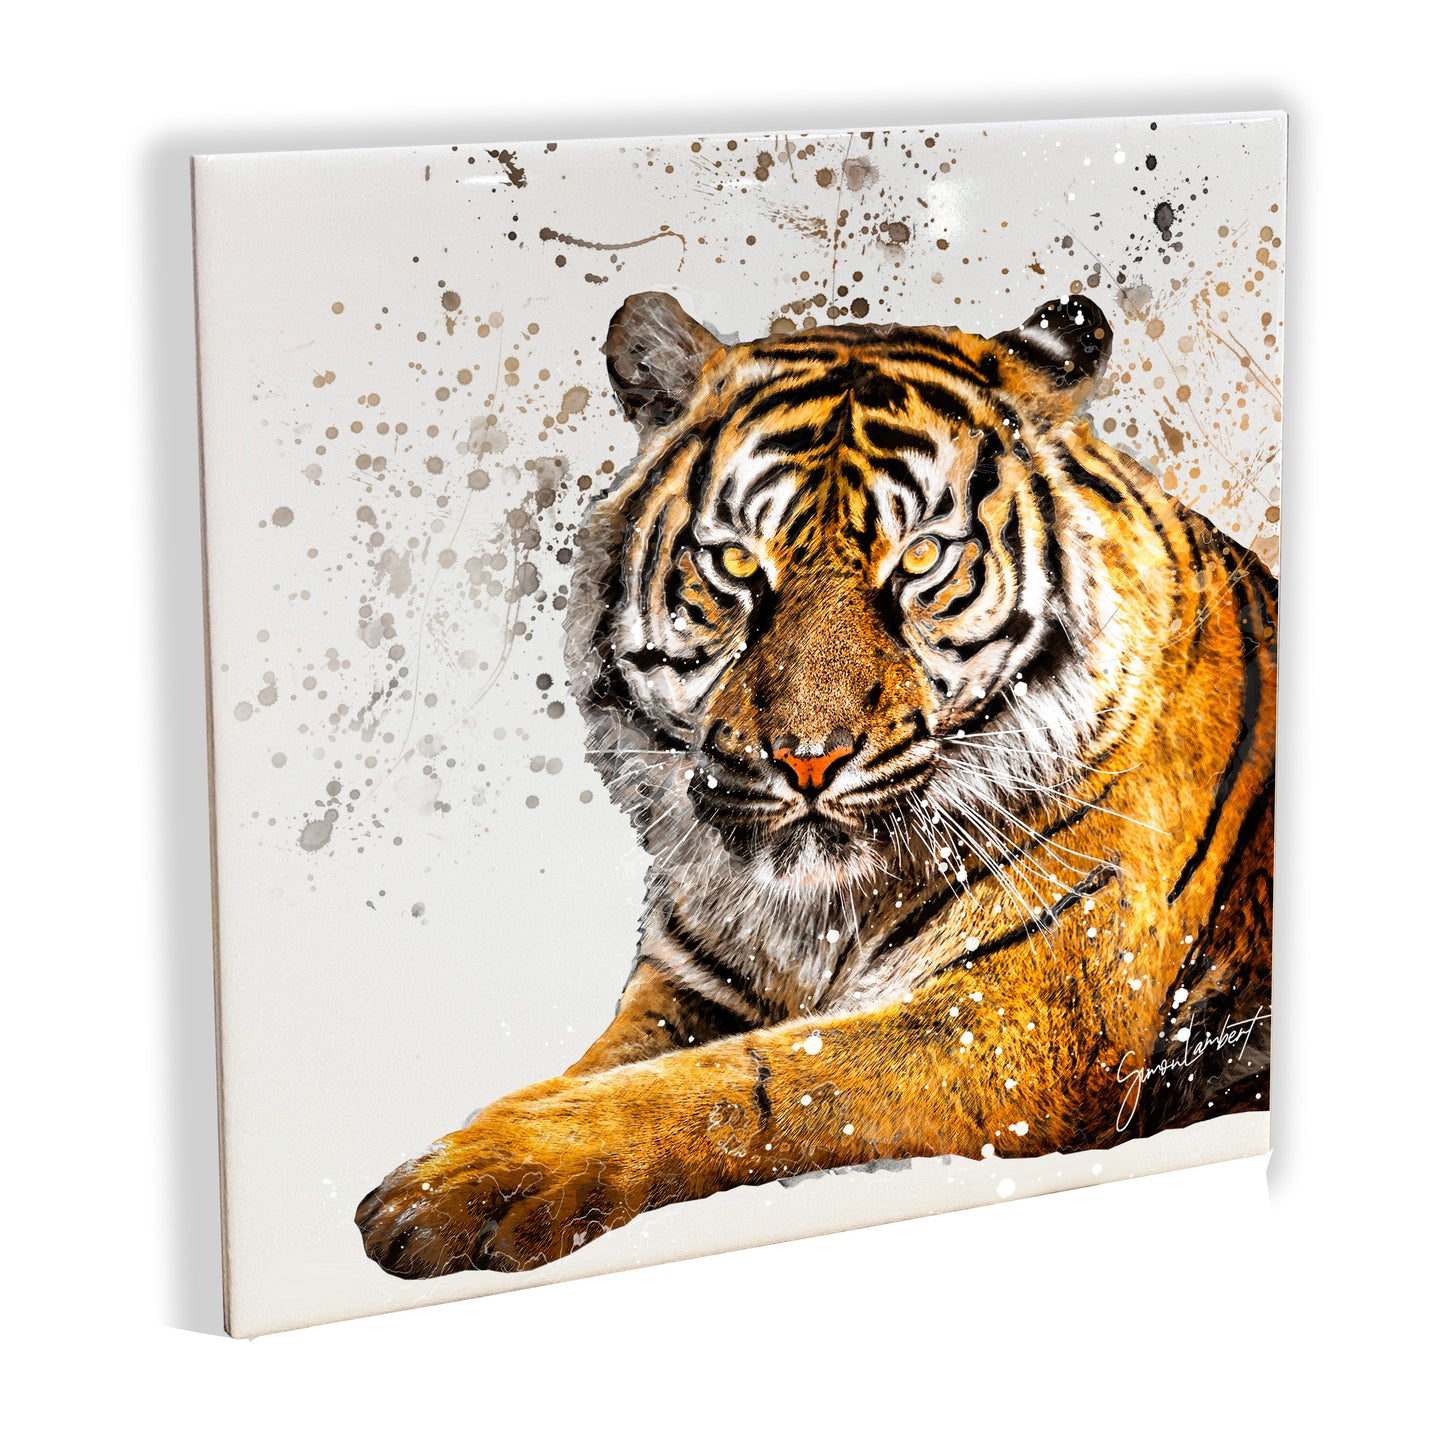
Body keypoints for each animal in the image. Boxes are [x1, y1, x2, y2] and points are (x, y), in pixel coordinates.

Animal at [356, 290, 1277, 1279]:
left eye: (922, 559)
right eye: (734, 564)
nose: (806, 758)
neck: (815, 911)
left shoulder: (1021, 1019)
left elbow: (753, 1077)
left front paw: (471, 1178)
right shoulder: (687, 981)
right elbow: (607, 1065)